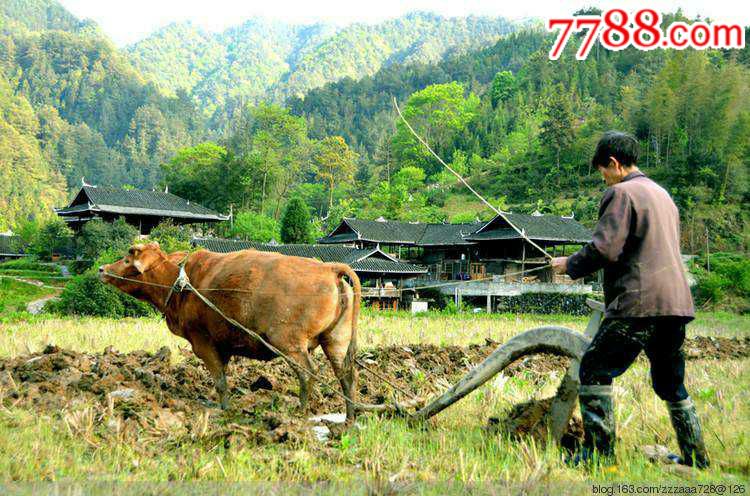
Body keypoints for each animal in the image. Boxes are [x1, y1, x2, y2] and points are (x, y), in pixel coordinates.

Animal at [99, 241, 362, 418]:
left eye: (127, 259)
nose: (102, 269)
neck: (180, 282)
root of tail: (328, 268)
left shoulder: (203, 343)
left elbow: (220, 382)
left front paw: (224, 409)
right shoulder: (222, 345)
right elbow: (224, 378)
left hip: (289, 343)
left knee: (308, 374)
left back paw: (302, 412)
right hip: (336, 340)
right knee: (346, 376)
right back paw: (349, 418)